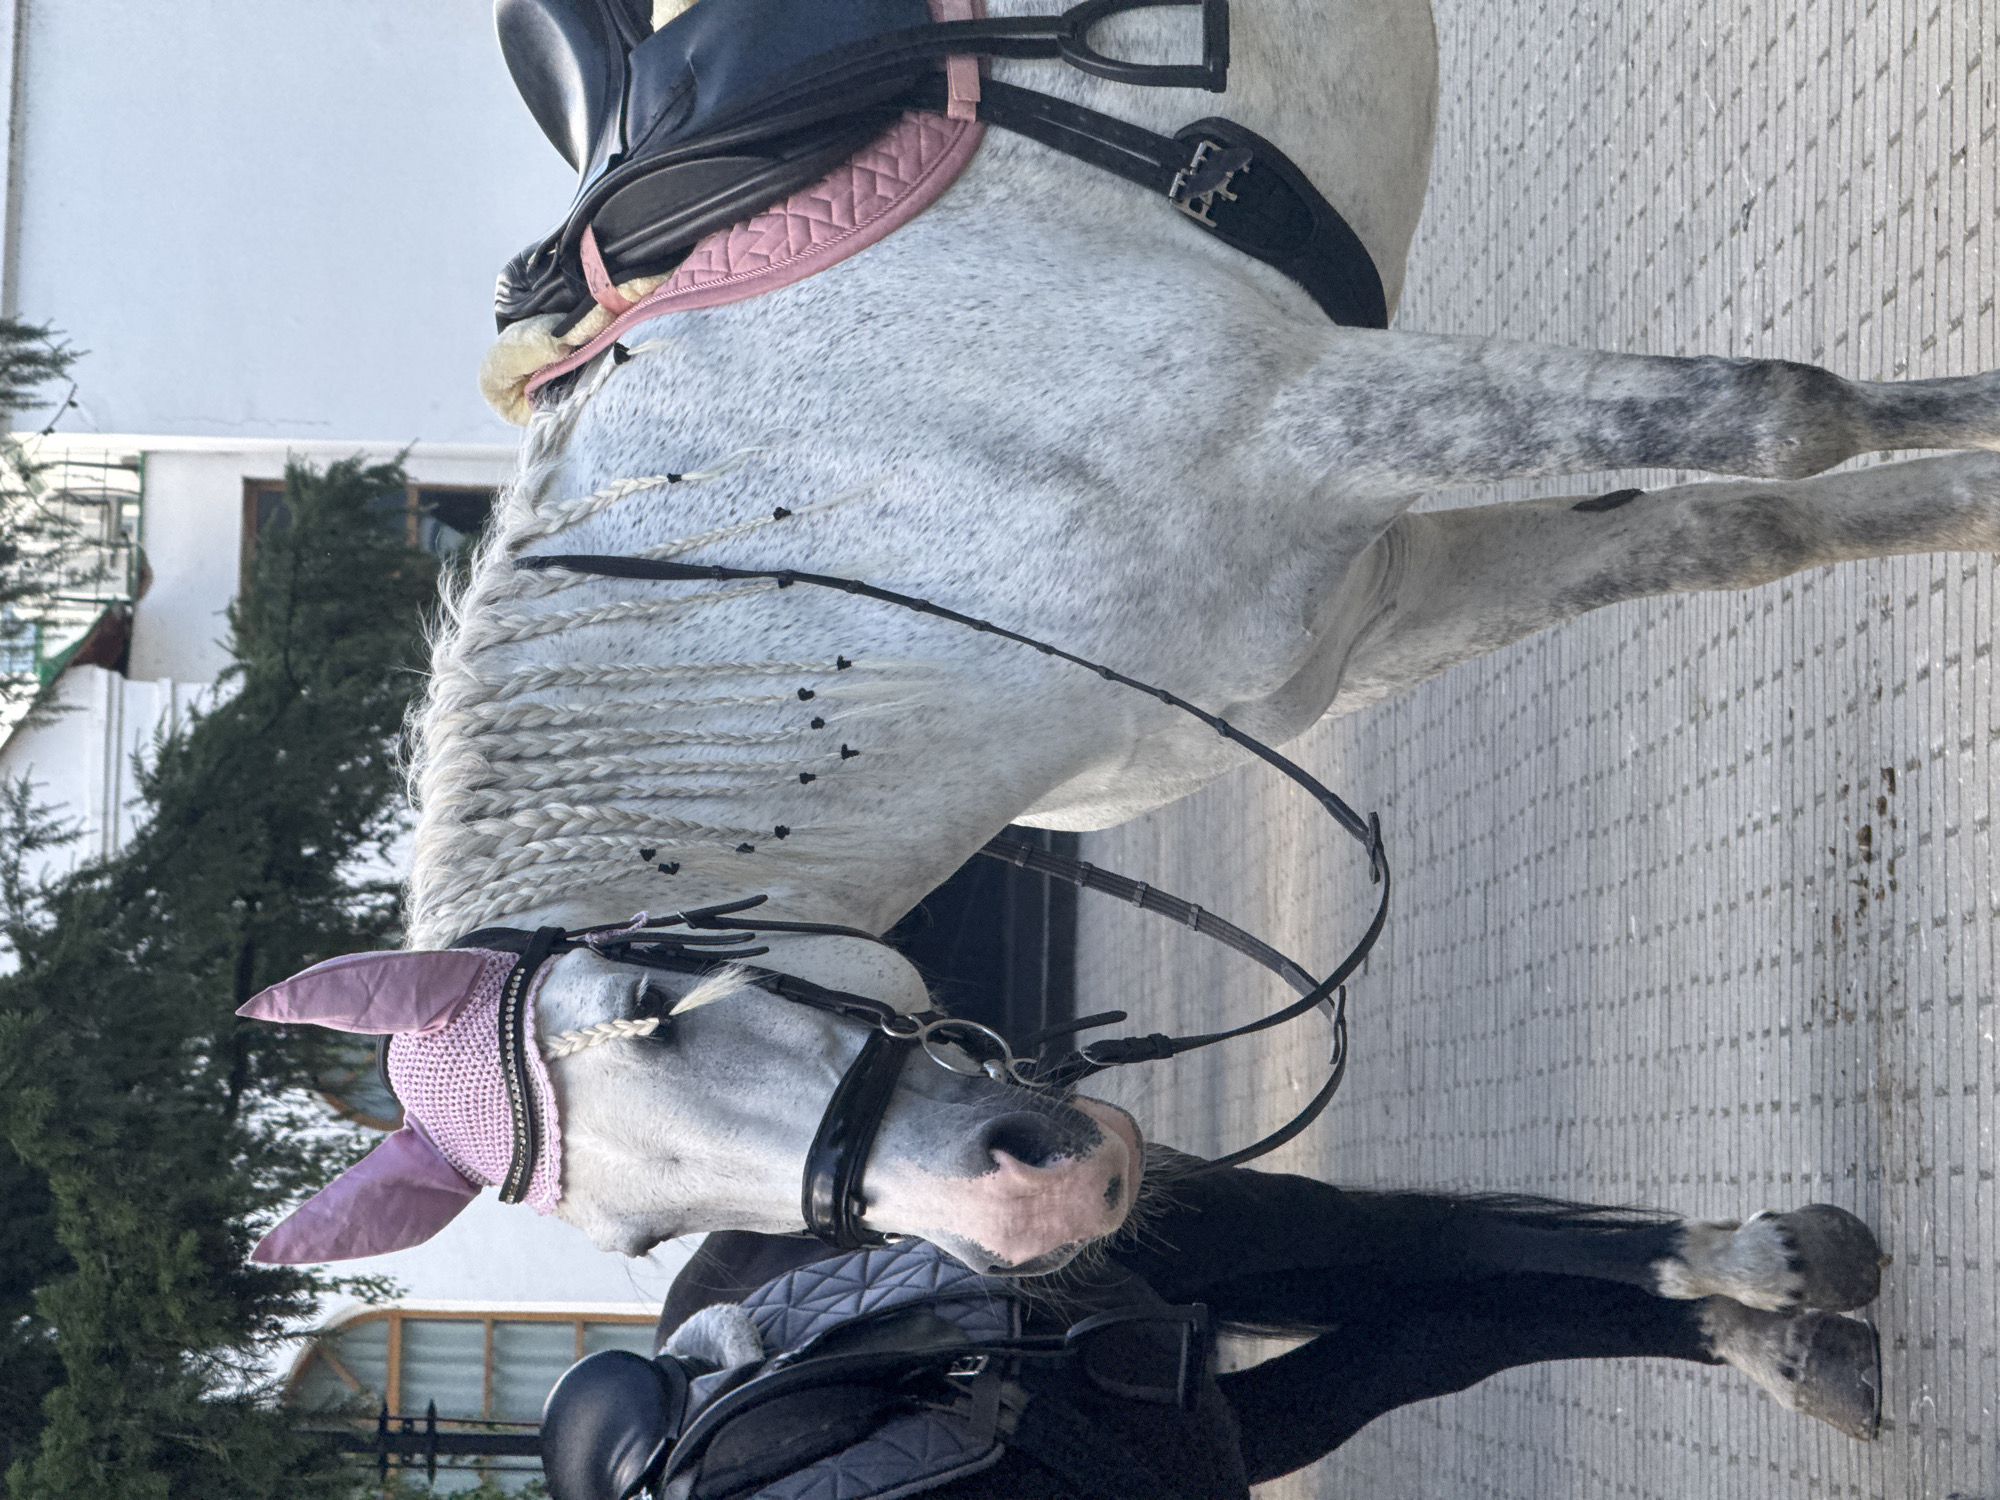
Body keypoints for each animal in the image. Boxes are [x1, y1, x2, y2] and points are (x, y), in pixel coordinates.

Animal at [245, 0, 2000, 1283]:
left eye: (654, 1008)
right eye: (644, 1234)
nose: (1036, 1207)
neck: (847, 540)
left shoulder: (1320, 410)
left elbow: (1783, 418)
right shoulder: (1375, 603)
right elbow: (1747, 529)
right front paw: (1971, 498)